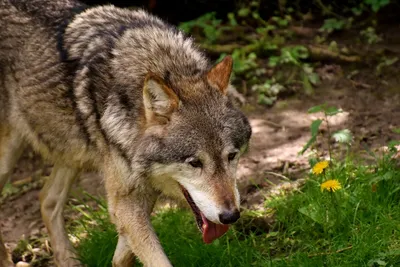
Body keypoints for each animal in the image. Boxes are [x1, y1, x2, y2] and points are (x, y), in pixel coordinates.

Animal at [0, 0, 250, 266]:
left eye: (231, 156)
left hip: (73, 153)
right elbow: (155, 258)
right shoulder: (125, 198)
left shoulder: (139, 192)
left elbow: (124, 254)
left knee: (47, 199)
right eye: (194, 163)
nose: (230, 216)